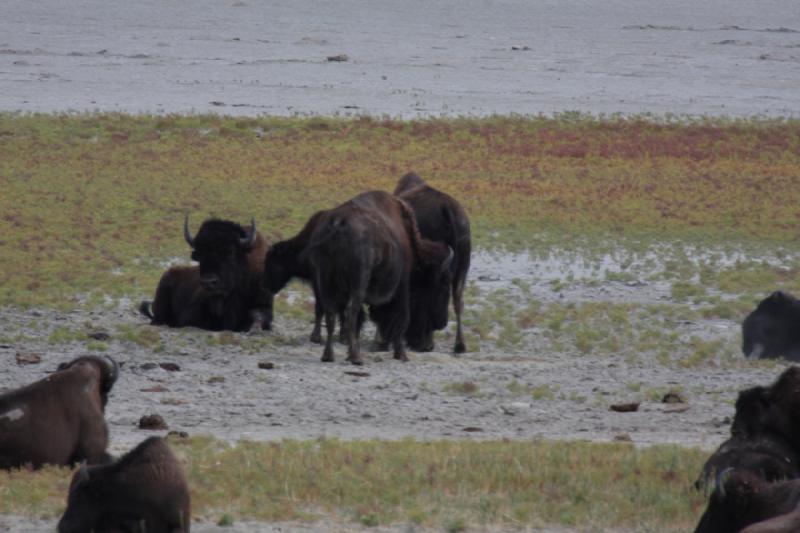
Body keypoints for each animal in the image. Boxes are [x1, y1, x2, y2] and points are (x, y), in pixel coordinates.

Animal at [306, 189, 454, 364]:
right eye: (444, 282)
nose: (442, 321)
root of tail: (338, 223)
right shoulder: (402, 286)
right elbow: (402, 318)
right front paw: (401, 355)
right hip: (358, 282)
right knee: (350, 313)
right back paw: (356, 357)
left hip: (325, 280)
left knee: (331, 315)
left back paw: (328, 356)